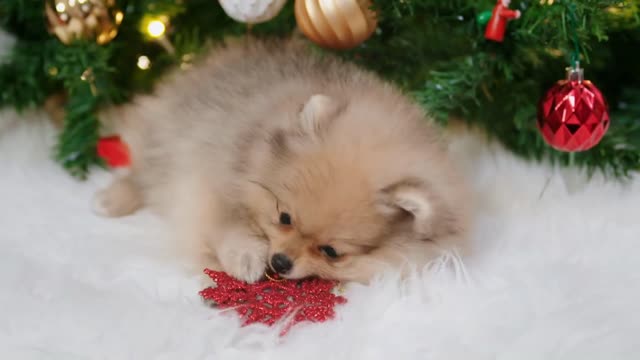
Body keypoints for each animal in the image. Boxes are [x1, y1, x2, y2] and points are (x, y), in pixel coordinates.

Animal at [94, 37, 470, 284]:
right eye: (284, 217)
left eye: (331, 252)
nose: (280, 261)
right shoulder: (208, 175)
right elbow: (225, 222)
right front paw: (246, 256)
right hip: (166, 132)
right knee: (143, 170)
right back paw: (112, 199)